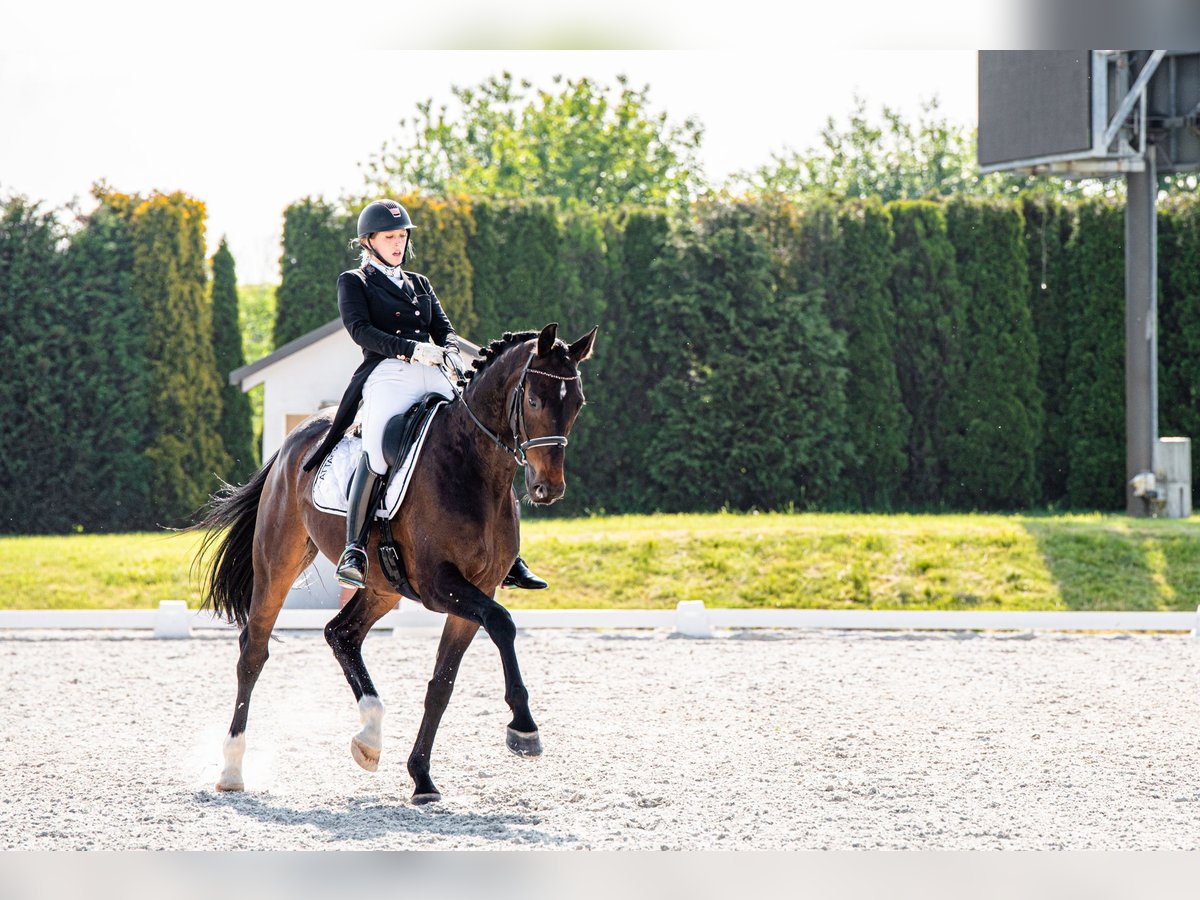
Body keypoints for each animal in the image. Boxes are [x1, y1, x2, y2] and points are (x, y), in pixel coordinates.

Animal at [190, 321, 595, 801]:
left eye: (577, 404)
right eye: (533, 401)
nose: (547, 489)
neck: (474, 468)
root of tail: (299, 435)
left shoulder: (475, 589)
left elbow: (442, 684)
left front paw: (421, 777)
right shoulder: (441, 586)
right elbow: (503, 623)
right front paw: (523, 728)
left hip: (382, 586)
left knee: (341, 634)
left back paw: (369, 737)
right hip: (278, 561)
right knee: (254, 650)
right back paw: (232, 768)